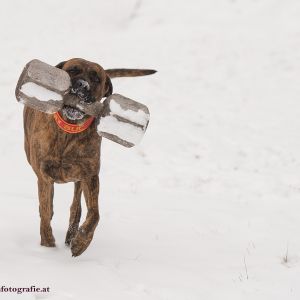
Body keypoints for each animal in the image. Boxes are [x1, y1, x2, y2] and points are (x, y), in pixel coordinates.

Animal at [23, 58, 156, 255]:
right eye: (72, 70)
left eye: (96, 79)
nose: (81, 85)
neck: (68, 132)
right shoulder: (44, 176)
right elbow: (45, 212)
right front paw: (48, 246)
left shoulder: (90, 175)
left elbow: (94, 213)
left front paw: (81, 241)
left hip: (79, 178)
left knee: (76, 207)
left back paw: (72, 235)